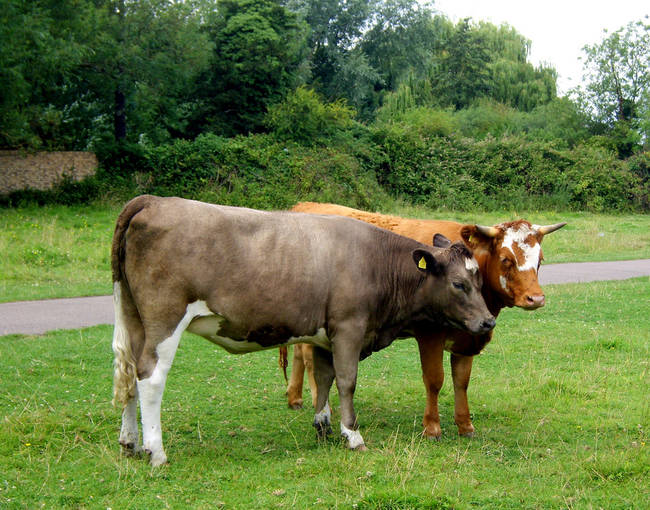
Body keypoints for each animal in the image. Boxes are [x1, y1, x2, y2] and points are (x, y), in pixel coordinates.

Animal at [112, 193, 496, 464]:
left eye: (479, 281)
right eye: (460, 284)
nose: (488, 320)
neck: (376, 261)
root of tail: (152, 200)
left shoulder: (325, 335)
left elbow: (324, 377)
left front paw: (323, 425)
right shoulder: (349, 327)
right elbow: (347, 380)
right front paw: (352, 434)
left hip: (133, 318)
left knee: (129, 371)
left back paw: (130, 442)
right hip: (165, 319)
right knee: (150, 377)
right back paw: (156, 451)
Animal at [282, 202, 560, 438]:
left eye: (540, 260)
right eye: (506, 259)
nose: (536, 298)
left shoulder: (467, 337)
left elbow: (462, 381)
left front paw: (465, 424)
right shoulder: (430, 335)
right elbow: (435, 380)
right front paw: (432, 427)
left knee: (299, 354)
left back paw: (295, 398)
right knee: (309, 360)